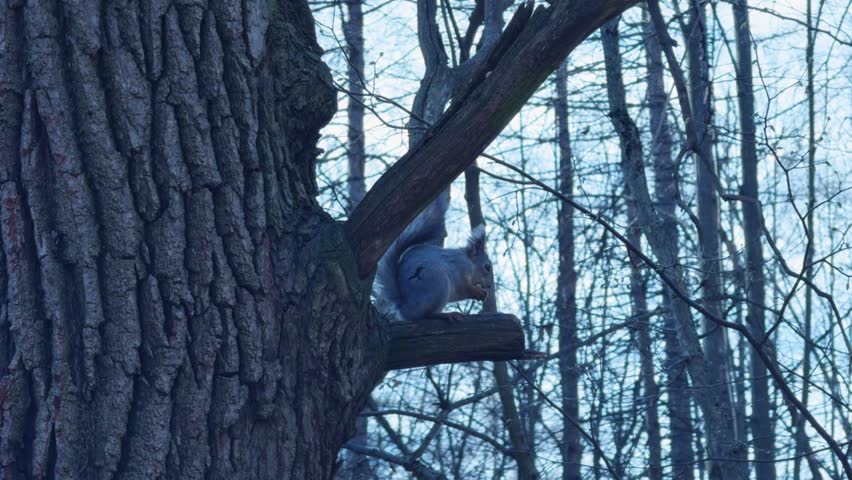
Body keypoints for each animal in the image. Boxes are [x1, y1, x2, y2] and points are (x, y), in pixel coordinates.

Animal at [374, 190, 493, 321]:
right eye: (487, 267)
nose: (489, 286)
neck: (469, 262)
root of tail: (405, 310)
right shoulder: (459, 269)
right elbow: (464, 288)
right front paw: (479, 292)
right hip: (438, 285)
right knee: (427, 315)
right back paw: (448, 314)